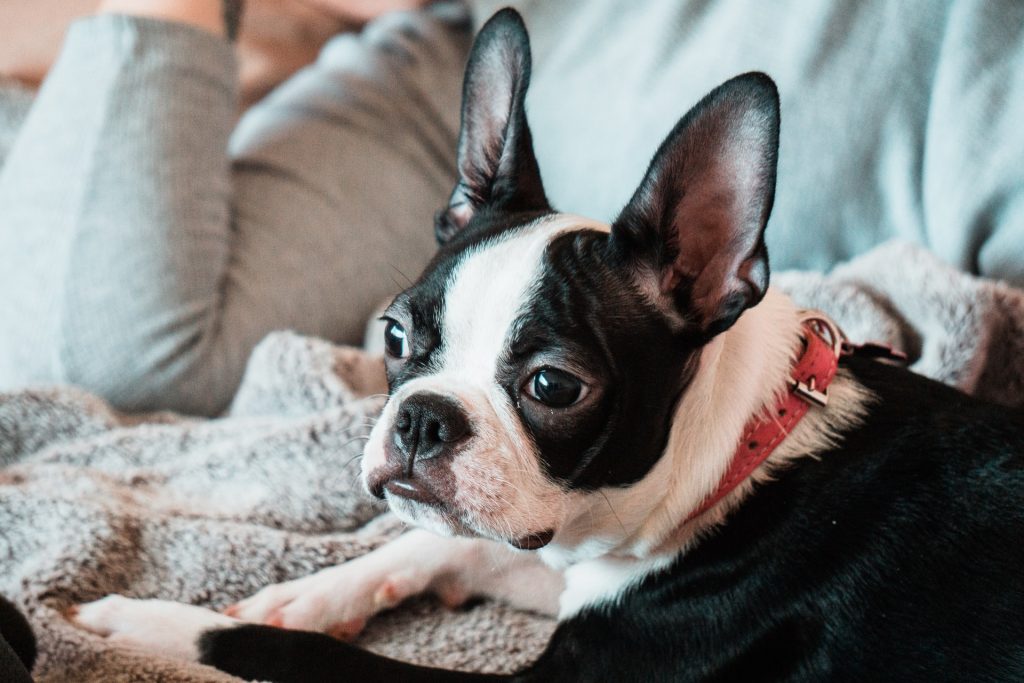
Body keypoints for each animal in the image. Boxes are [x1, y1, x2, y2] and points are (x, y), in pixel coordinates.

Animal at [70, 7, 1024, 679]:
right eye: (395, 334)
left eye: (552, 387)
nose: (421, 418)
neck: (738, 463)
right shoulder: (569, 550)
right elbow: (441, 541)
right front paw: (295, 594)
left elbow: (302, 655)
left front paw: (152, 622)